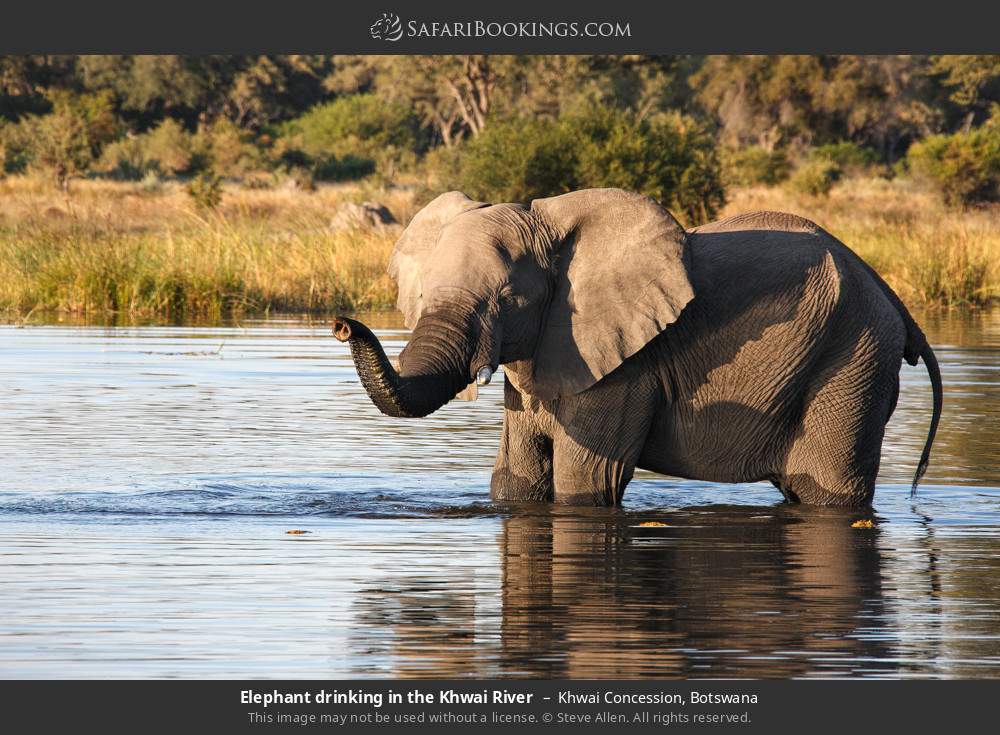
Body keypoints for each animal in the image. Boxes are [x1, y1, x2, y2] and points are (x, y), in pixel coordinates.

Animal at [332, 188, 940, 506]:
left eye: (508, 298)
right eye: (423, 292)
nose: (342, 324)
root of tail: (890, 295)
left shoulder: (626, 367)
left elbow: (586, 484)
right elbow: (515, 480)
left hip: (854, 358)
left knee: (828, 493)